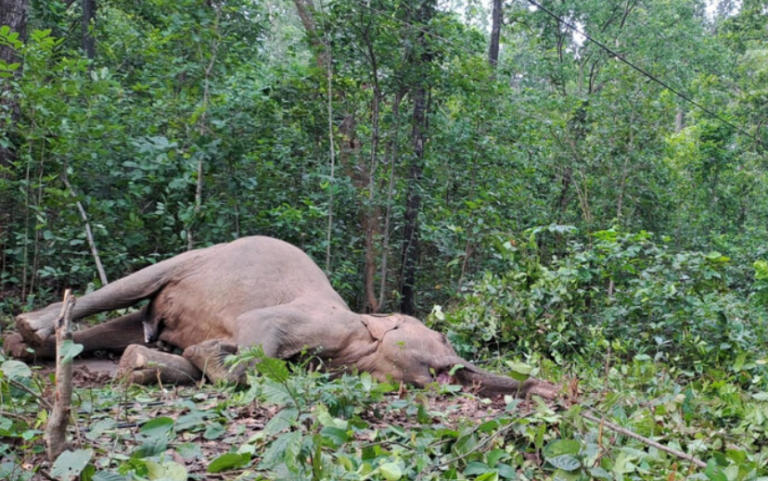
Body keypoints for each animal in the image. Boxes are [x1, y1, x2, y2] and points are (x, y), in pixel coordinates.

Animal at [7, 236, 558, 399]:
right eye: (441, 335)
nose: (461, 366)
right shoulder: (322, 321)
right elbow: (255, 339)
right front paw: (208, 356)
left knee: (121, 326)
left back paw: (28, 347)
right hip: (188, 261)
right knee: (127, 286)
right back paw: (28, 326)